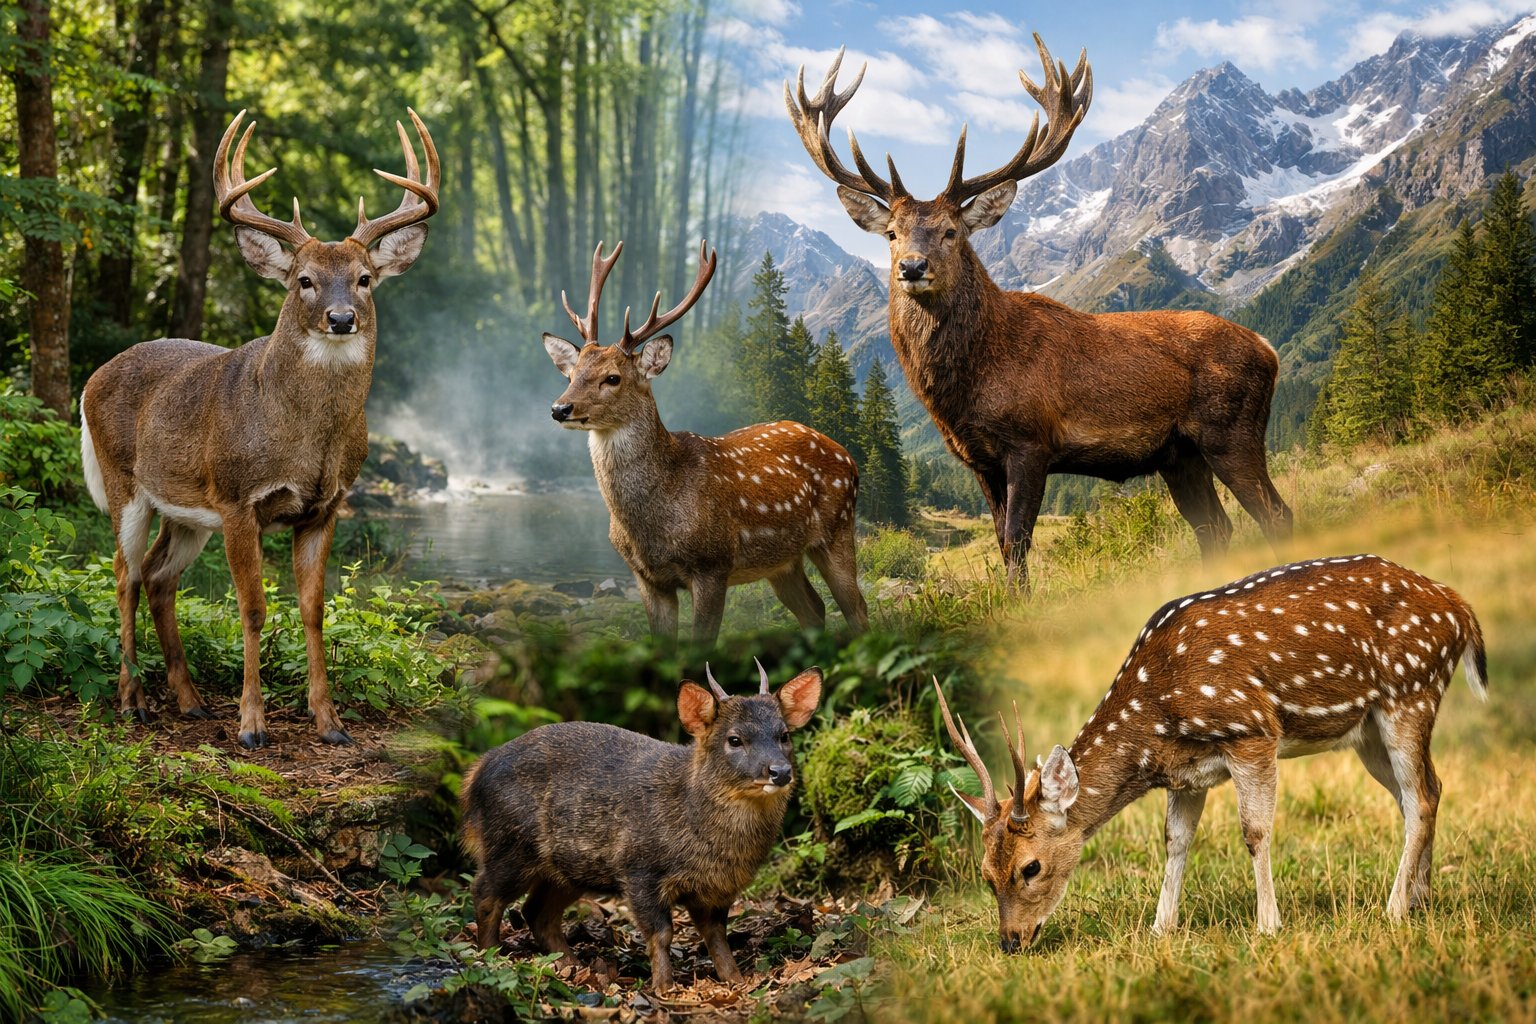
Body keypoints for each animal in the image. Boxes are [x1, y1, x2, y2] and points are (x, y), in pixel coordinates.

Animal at [80, 108, 439, 749]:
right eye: (303, 279)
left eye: (365, 277)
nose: (341, 318)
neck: (306, 438)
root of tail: (91, 378)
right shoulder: (238, 498)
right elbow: (252, 609)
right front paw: (251, 726)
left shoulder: (326, 505)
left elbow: (312, 609)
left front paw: (330, 723)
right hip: (126, 484)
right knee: (124, 574)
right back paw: (133, 702)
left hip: (186, 510)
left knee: (159, 577)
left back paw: (191, 702)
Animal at [461, 661, 823, 991]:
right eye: (735, 739)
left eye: (784, 735)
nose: (779, 771)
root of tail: (475, 774)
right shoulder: (638, 868)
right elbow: (662, 934)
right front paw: (664, 987)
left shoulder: (716, 888)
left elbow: (717, 936)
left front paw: (735, 981)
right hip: (510, 843)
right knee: (484, 892)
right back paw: (491, 955)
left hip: (568, 869)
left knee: (536, 911)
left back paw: (572, 965)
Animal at [541, 240, 869, 646]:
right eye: (572, 373)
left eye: (613, 378)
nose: (560, 408)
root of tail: (849, 457)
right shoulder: (647, 577)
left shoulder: (713, 565)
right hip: (782, 562)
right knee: (815, 609)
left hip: (838, 529)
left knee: (857, 608)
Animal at [786, 38, 1294, 588]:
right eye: (892, 233)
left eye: (951, 231)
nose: (912, 267)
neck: (972, 384)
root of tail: (1268, 349)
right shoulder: (978, 459)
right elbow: (1001, 542)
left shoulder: (1031, 440)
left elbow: (1016, 541)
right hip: (1179, 455)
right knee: (1215, 527)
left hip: (1231, 429)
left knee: (1274, 512)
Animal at [934, 554, 1488, 951]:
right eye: (984, 873)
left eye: (1030, 867)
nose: (1010, 941)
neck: (1159, 714)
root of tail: (1460, 608)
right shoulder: (1186, 774)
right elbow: (1174, 841)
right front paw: (1161, 928)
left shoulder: (1252, 731)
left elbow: (1255, 831)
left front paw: (1268, 925)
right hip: (1369, 730)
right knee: (1425, 791)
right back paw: (1420, 900)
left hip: (1410, 691)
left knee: (1420, 797)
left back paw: (1392, 910)